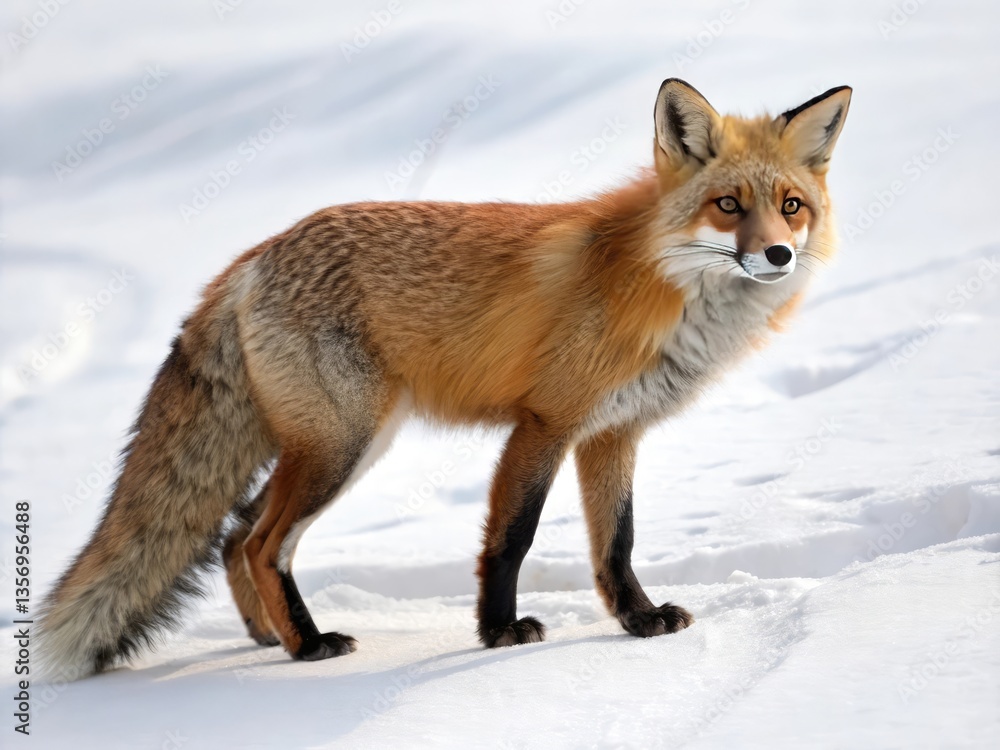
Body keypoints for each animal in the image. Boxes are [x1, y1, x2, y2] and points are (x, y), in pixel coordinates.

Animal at [38, 78, 851, 677]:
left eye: (790, 207)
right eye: (728, 205)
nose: (778, 255)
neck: (662, 289)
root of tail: (255, 256)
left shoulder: (613, 433)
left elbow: (614, 545)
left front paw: (638, 621)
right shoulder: (546, 421)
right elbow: (511, 538)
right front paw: (498, 634)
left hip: (334, 445)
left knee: (235, 533)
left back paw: (269, 633)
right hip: (342, 446)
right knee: (264, 541)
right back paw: (308, 645)